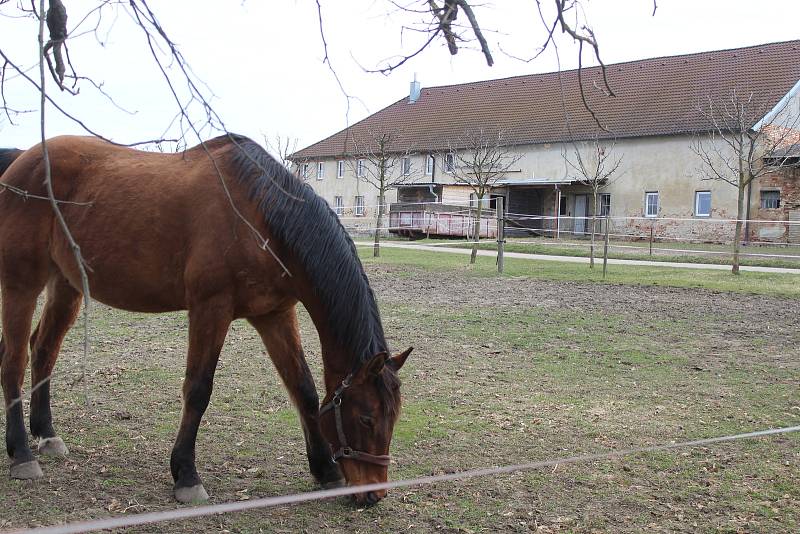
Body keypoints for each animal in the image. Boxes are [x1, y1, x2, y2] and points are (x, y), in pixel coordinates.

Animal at [0, 134, 412, 506]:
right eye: (366, 418)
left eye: (394, 418)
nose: (373, 494)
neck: (259, 214)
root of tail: (22, 159)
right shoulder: (210, 310)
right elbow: (198, 390)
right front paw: (186, 475)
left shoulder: (274, 315)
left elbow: (304, 389)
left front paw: (325, 470)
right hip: (22, 284)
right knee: (14, 360)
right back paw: (21, 453)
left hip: (66, 284)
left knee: (43, 349)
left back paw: (46, 433)